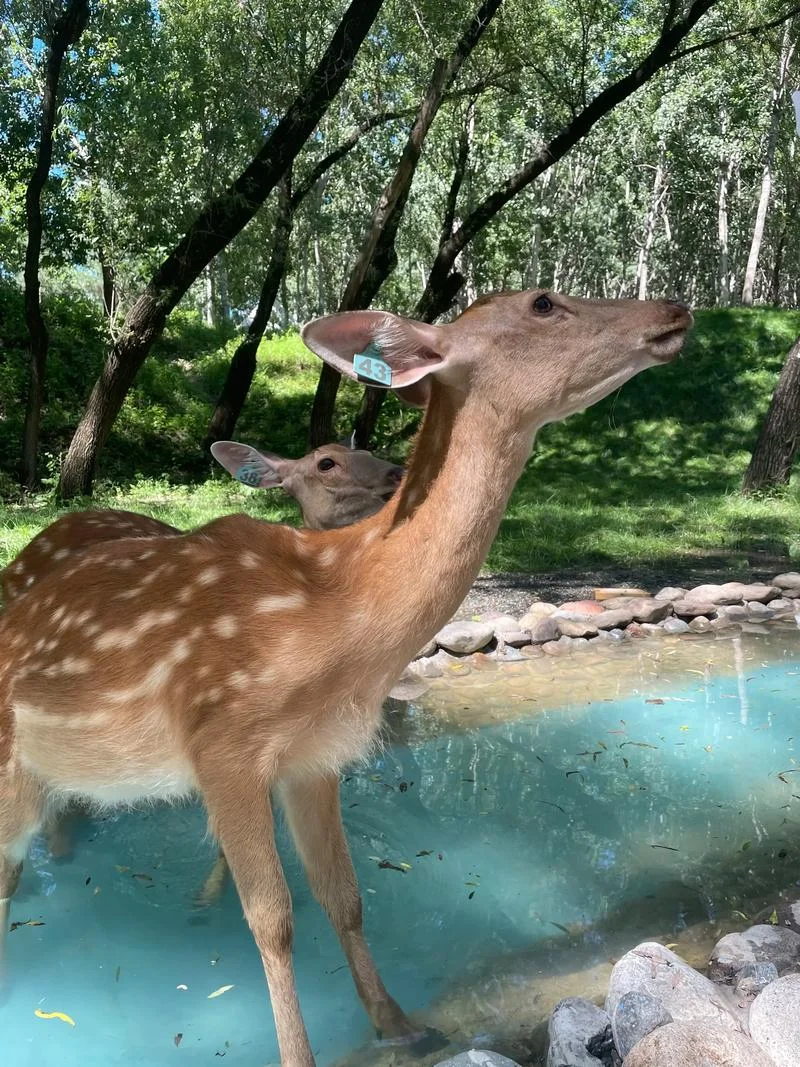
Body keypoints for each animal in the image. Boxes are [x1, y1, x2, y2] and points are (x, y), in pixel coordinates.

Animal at [0, 291, 691, 1067]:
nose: (675, 309)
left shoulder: (315, 757)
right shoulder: (222, 742)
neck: (339, 620)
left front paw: (402, 1024)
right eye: (542, 302)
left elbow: (345, 895)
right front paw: (300, 1051)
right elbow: (272, 919)